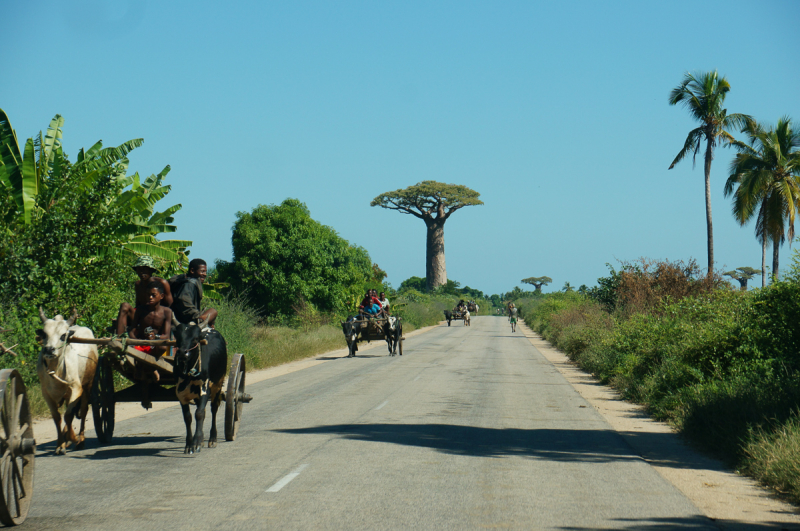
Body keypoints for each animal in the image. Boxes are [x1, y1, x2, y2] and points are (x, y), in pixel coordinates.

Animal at [37, 310, 99, 456]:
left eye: (63, 335)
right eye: (44, 334)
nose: (49, 350)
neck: (55, 370)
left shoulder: (76, 388)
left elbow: (68, 415)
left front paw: (73, 438)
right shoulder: (46, 394)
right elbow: (57, 418)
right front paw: (60, 444)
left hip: (87, 386)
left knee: (83, 410)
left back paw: (80, 440)